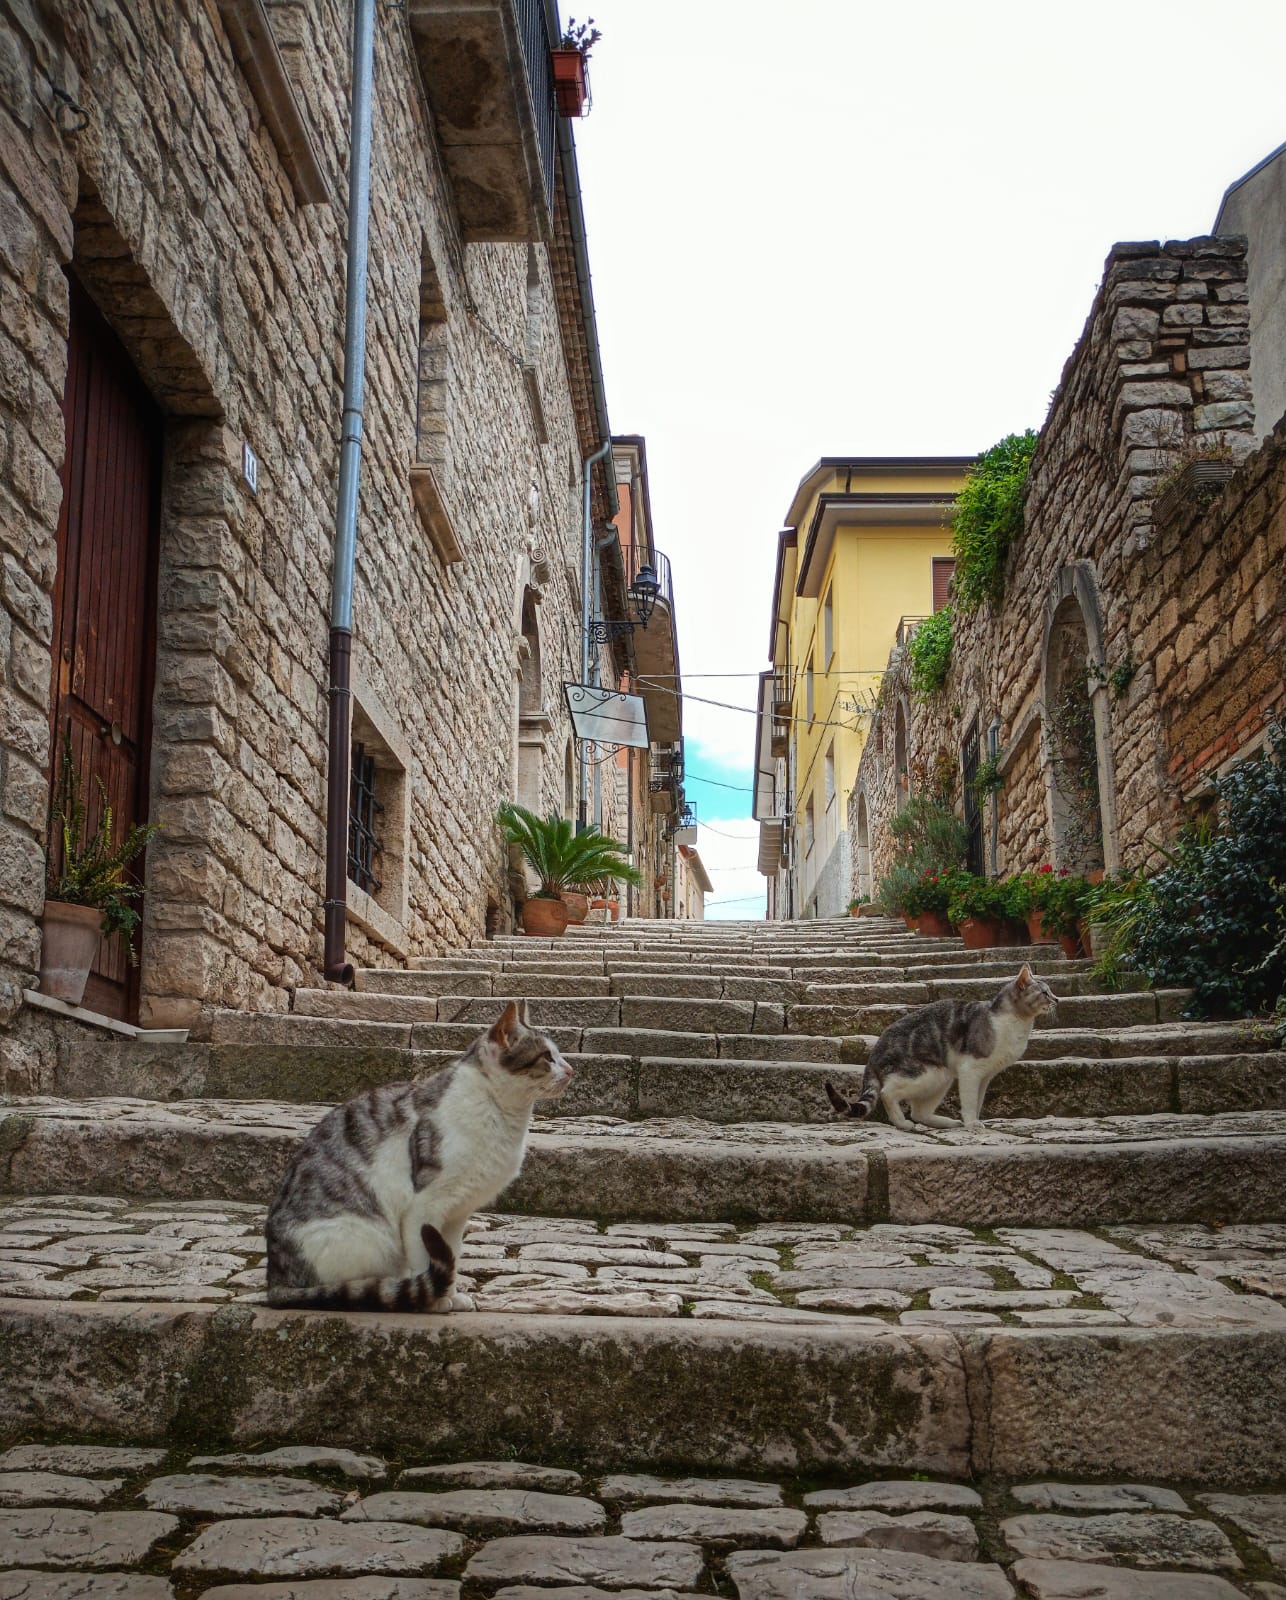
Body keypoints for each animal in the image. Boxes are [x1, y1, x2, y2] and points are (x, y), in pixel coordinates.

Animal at [265, 1000, 573, 1310]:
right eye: (547, 1057)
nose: (572, 1070)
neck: (502, 1113)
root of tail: (275, 1282)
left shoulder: (457, 1212)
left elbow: (452, 1256)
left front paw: (451, 1296)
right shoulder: (423, 1208)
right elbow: (426, 1260)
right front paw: (434, 1302)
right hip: (366, 1238)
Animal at [824, 964, 1057, 1133]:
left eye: (1051, 992)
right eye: (1045, 993)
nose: (1057, 999)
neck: (1016, 1023)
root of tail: (873, 1054)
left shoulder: (986, 1076)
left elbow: (978, 1100)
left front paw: (973, 1120)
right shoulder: (971, 1069)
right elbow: (970, 1101)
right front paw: (972, 1124)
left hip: (942, 1077)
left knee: (919, 1112)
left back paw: (947, 1123)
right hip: (930, 1072)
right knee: (887, 1093)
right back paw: (903, 1123)